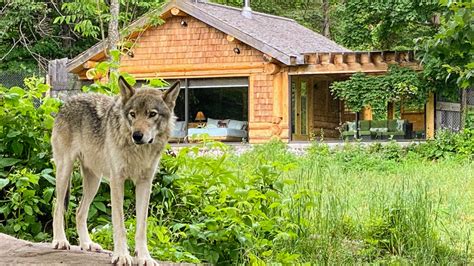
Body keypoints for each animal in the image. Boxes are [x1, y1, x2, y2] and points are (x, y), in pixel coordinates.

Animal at [51, 76, 179, 264]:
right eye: (132, 114)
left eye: (152, 114)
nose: (137, 135)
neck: (138, 151)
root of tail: (68, 101)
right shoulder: (117, 181)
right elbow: (119, 224)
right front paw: (121, 256)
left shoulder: (145, 183)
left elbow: (142, 227)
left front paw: (144, 257)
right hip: (65, 171)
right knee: (58, 206)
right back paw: (60, 240)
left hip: (94, 182)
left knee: (79, 212)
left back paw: (87, 244)